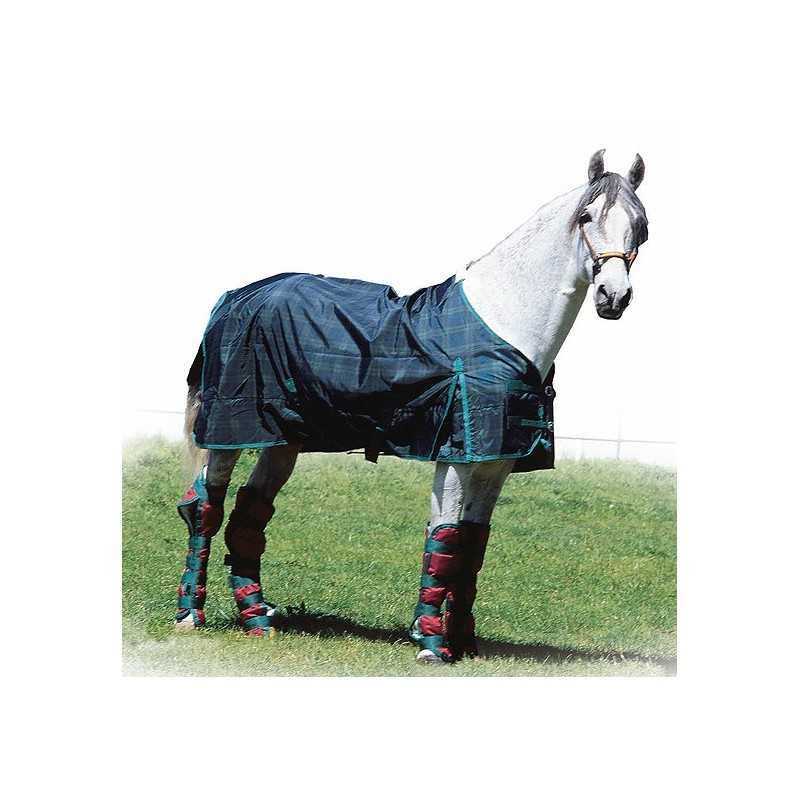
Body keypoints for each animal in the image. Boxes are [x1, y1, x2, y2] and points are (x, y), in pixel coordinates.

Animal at [173, 149, 648, 664]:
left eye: (640, 224)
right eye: (586, 217)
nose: (613, 297)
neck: (502, 321)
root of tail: (236, 297)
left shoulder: (495, 462)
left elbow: (472, 546)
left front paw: (463, 642)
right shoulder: (456, 456)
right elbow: (445, 537)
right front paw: (432, 644)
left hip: (282, 440)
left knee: (250, 512)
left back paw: (257, 618)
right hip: (229, 430)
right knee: (206, 505)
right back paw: (190, 615)